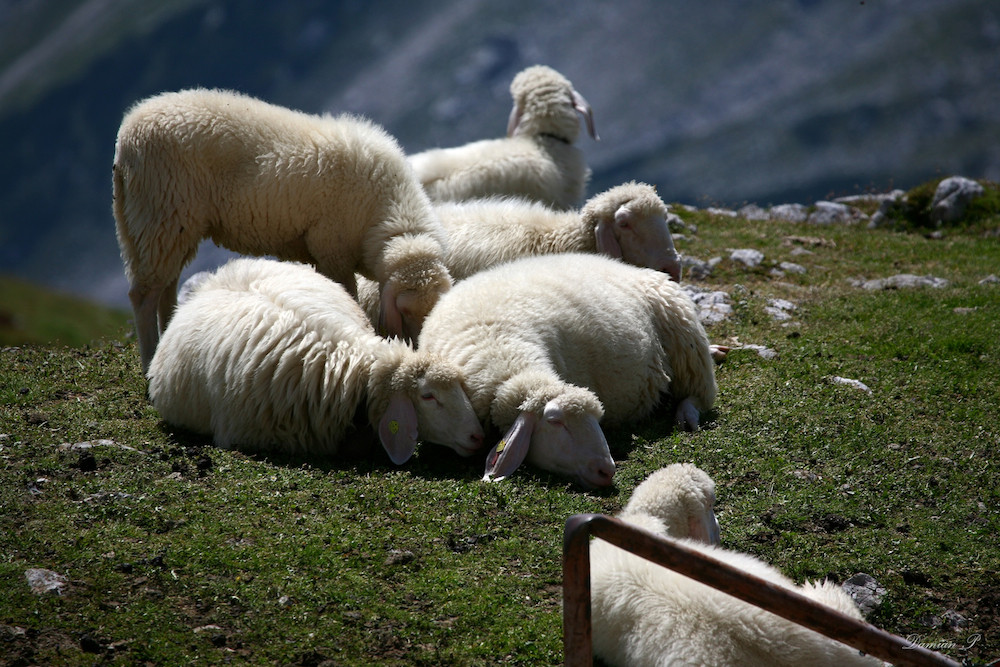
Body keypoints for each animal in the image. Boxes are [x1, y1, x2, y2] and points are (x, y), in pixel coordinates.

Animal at [111, 86, 452, 374]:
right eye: (404, 312)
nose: (421, 348)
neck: (389, 213)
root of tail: (126, 138)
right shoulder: (332, 248)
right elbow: (347, 295)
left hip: (170, 224)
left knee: (165, 284)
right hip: (161, 212)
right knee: (143, 294)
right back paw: (150, 360)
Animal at [416, 254, 720, 486]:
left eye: (598, 419)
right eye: (554, 421)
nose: (606, 470)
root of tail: (627, 266)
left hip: (686, 338)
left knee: (699, 393)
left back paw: (687, 414)